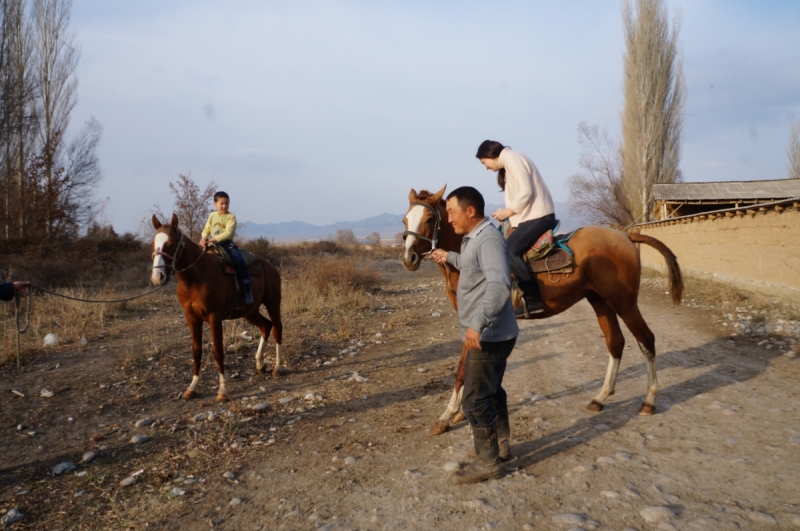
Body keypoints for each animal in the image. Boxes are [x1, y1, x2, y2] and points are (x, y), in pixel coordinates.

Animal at [150, 214, 284, 402]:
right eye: (153, 243)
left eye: (172, 243)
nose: (158, 276)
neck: (196, 278)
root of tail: (269, 265)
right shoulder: (192, 318)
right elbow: (196, 350)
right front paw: (192, 388)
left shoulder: (215, 316)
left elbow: (218, 351)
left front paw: (222, 391)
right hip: (249, 311)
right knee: (266, 326)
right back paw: (260, 364)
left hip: (272, 302)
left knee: (277, 328)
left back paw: (277, 368)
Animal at [400, 187, 680, 436]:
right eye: (405, 219)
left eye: (429, 219)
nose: (408, 258)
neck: (468, 254)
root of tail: (626, 236)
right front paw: (458, 412)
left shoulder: (476, 321)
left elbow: (461, 369)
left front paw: (447, 416)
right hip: (600, 301)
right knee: (616, 342)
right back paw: (600, 398)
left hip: (624, 303)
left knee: (646, 339)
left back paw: (649, 401)